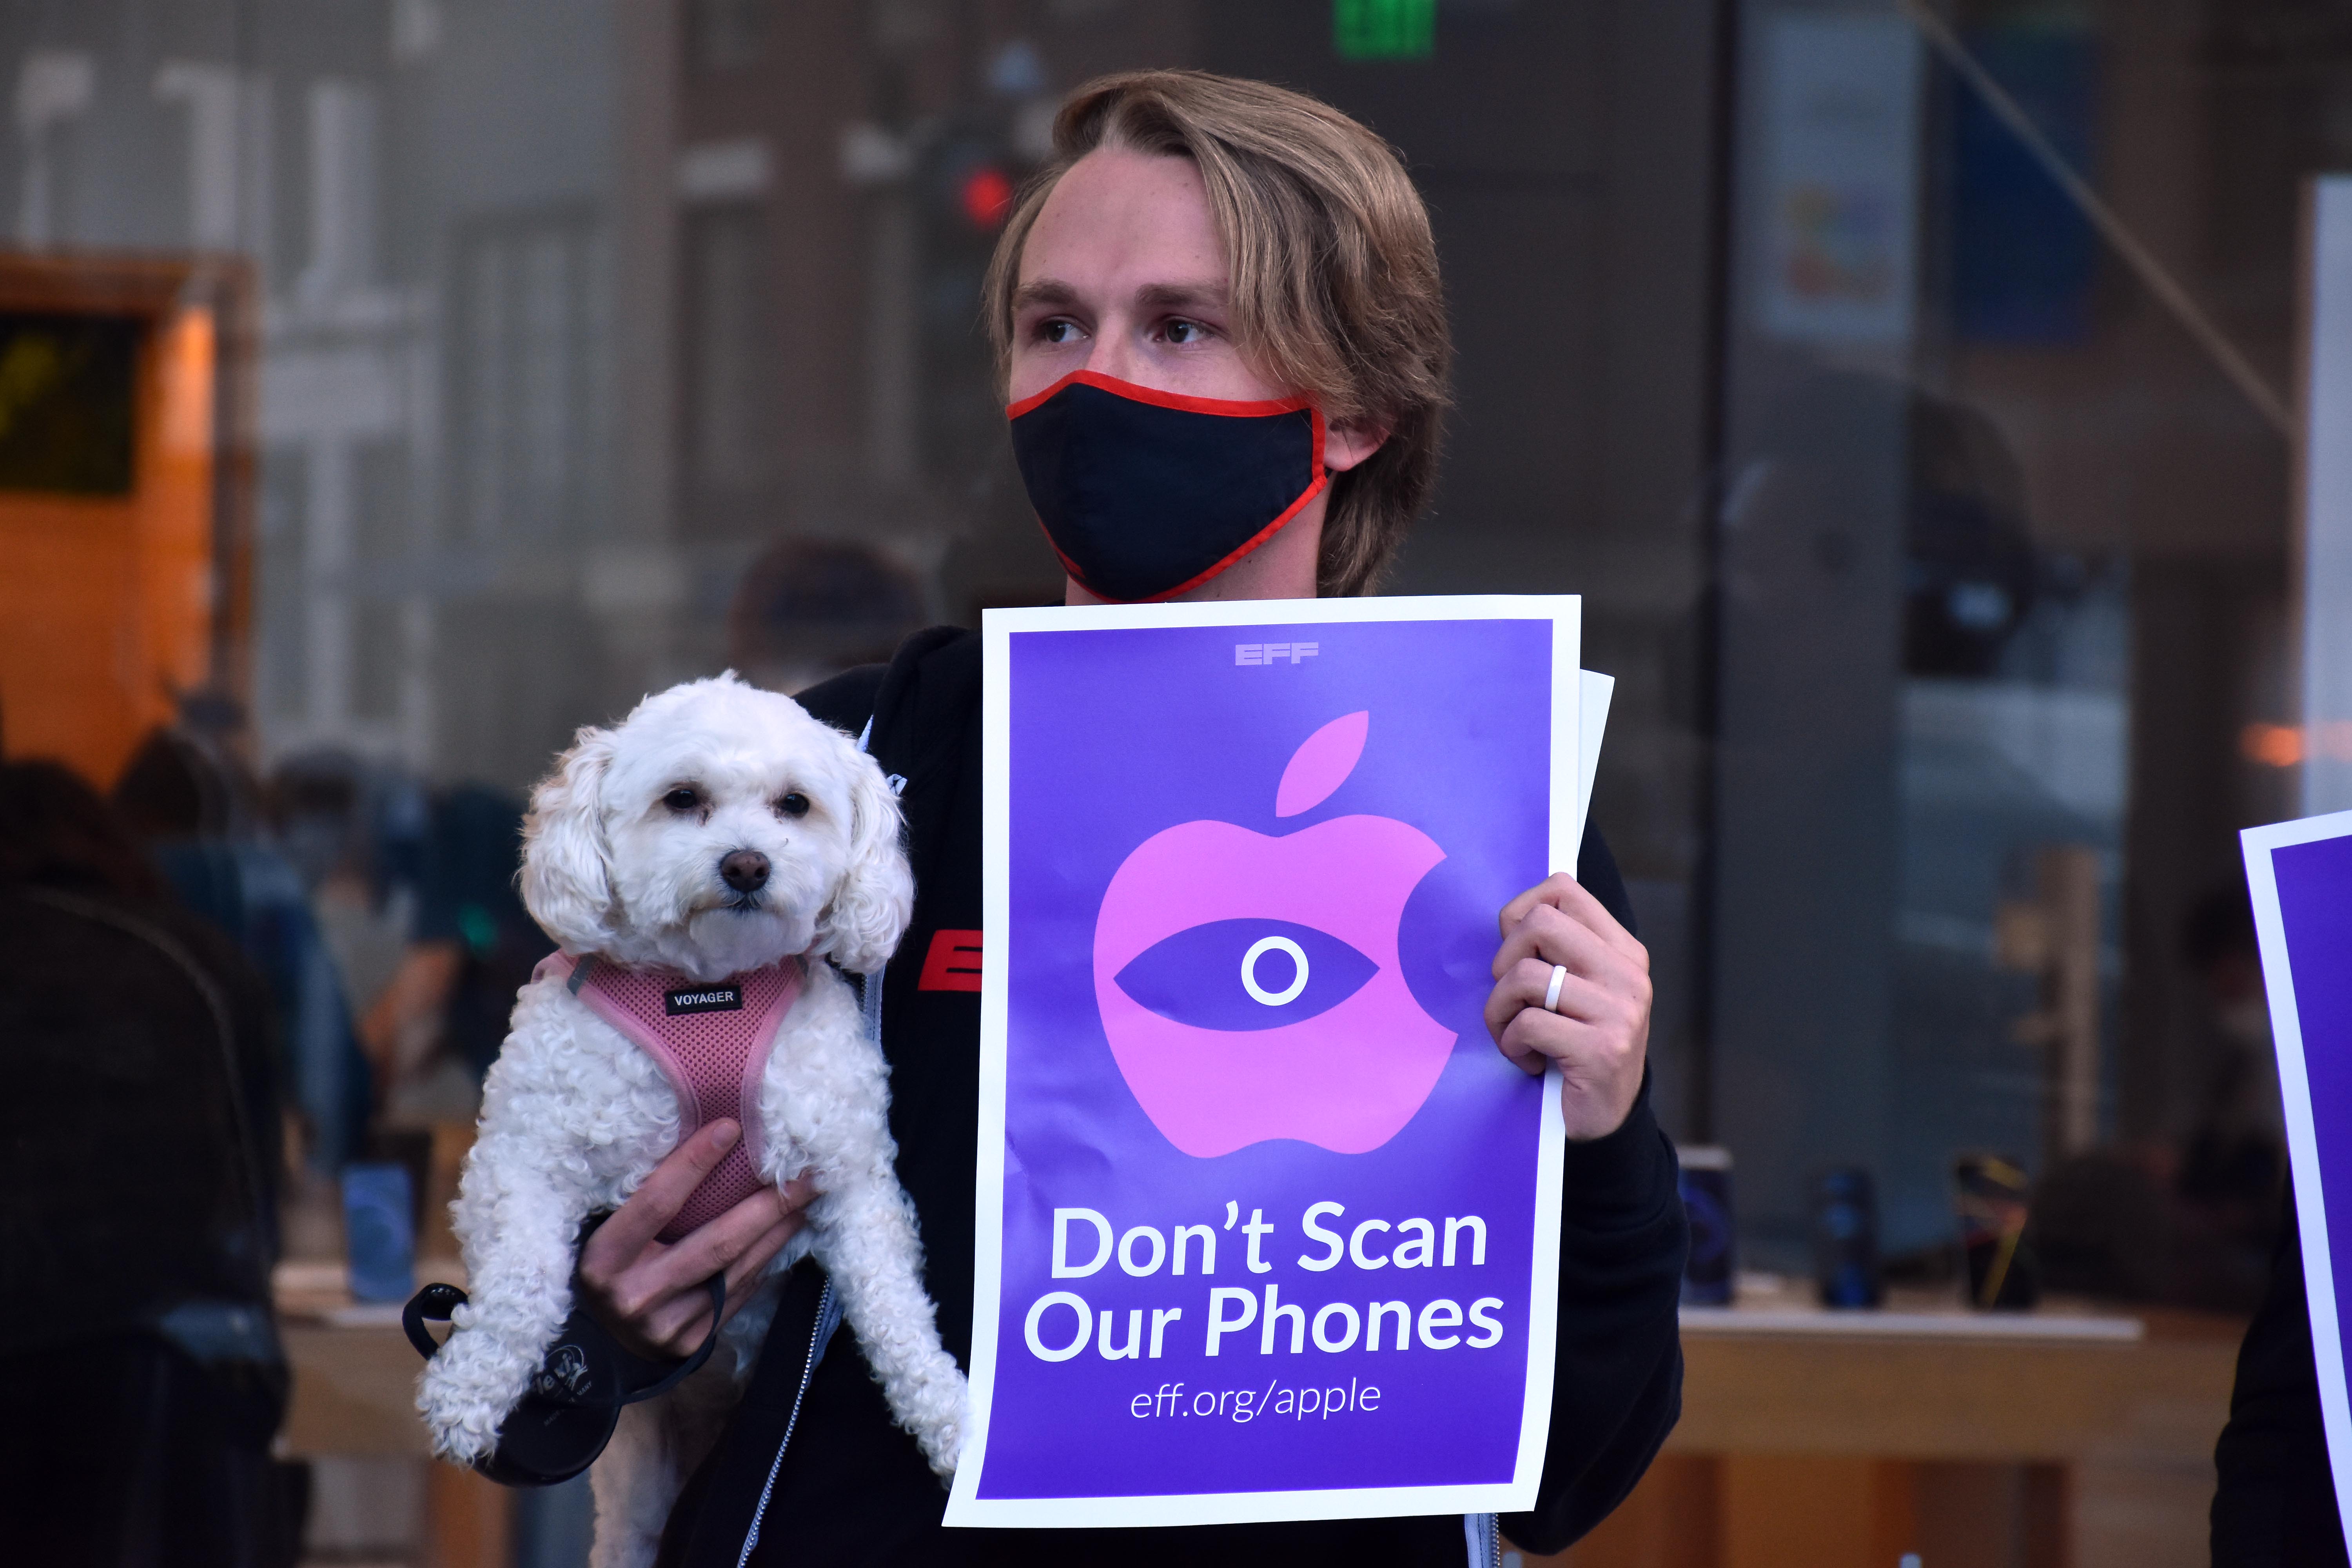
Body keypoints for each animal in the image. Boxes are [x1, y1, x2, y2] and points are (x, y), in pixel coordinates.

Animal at [421, 677, 964, 1568]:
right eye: (683, 799)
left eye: (794, 804)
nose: (748, 863)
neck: (709, 994)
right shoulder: (523, 1164)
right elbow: (520, 1286)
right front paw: (469, 1388)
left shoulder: (851, 1183)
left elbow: (896, 1310)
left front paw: (951, 1412)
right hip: (639, 1490)